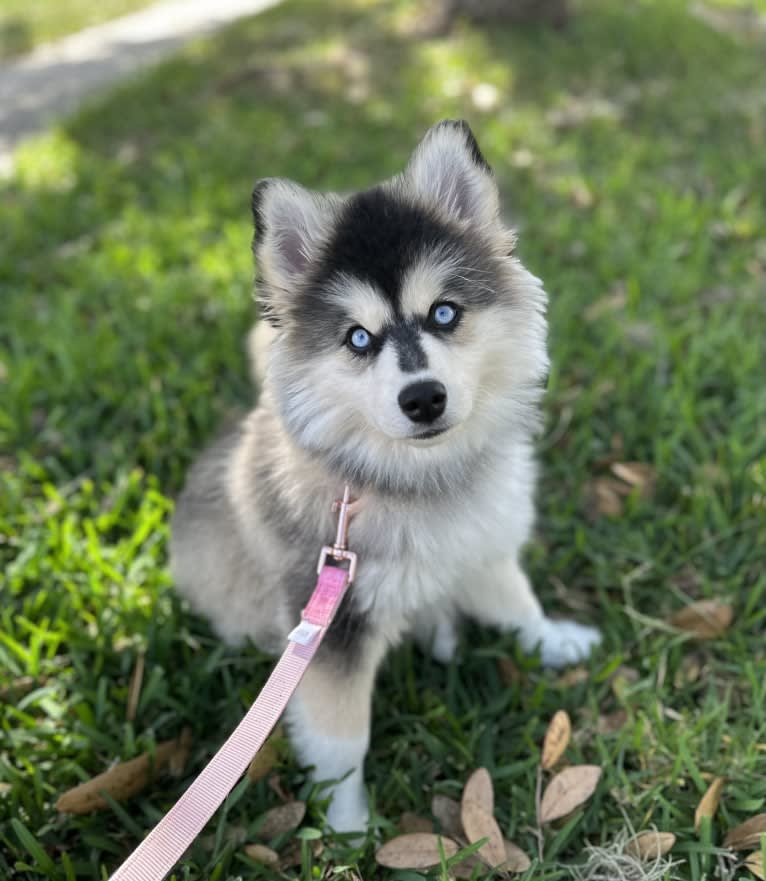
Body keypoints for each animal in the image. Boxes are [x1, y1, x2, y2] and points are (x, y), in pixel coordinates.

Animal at [171, 118, 604, 832]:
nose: (422, 398)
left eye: (445, 313)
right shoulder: (329, 630)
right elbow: (342, 741)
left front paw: (553, 641)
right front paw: (347, 827)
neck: (418, 480)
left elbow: (518, 603)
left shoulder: (480, 545)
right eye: (358, 338)